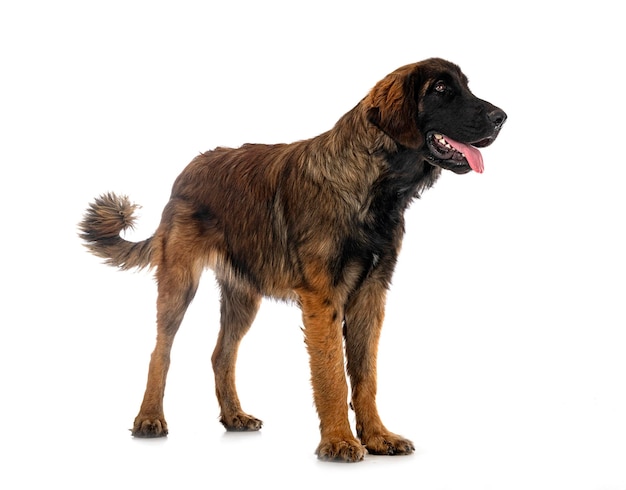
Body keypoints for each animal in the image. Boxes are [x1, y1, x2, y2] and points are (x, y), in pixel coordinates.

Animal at [80, 58, 504, 464]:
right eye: (441, 88)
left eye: (464, 86)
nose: (502, 116)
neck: (369, 184)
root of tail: (187, 171)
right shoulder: (323, 299)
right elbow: (332, 375)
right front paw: (339, 441)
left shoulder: (370, 297)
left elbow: (365, 375)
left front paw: (377, 437)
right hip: (179, 284)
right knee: (161, 351)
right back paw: (149, 418)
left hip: (243, 297)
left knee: (221, 355)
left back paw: (234, 416)